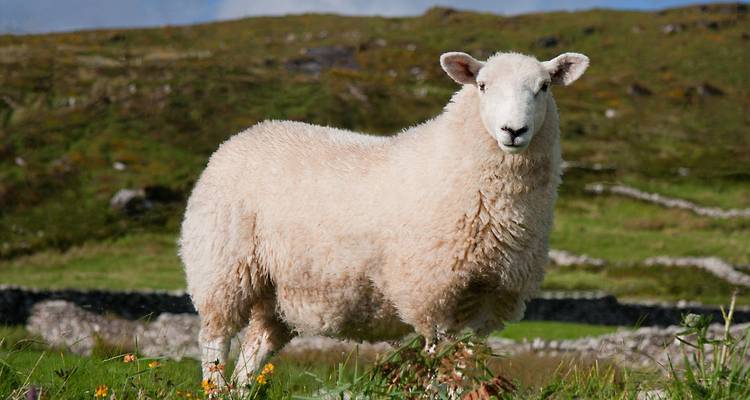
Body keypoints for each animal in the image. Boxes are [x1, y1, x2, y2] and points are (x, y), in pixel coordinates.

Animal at [179, 50, 589, 387]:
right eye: (483, 85)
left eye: (544, 86)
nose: (513, 131)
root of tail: (241, 136)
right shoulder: (432, 295)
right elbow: (437, 370)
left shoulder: (487, 300)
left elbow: (461, 370)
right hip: (223, 266)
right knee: (214, 344)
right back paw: (215, 386)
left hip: (278, 291)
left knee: (254, 350)